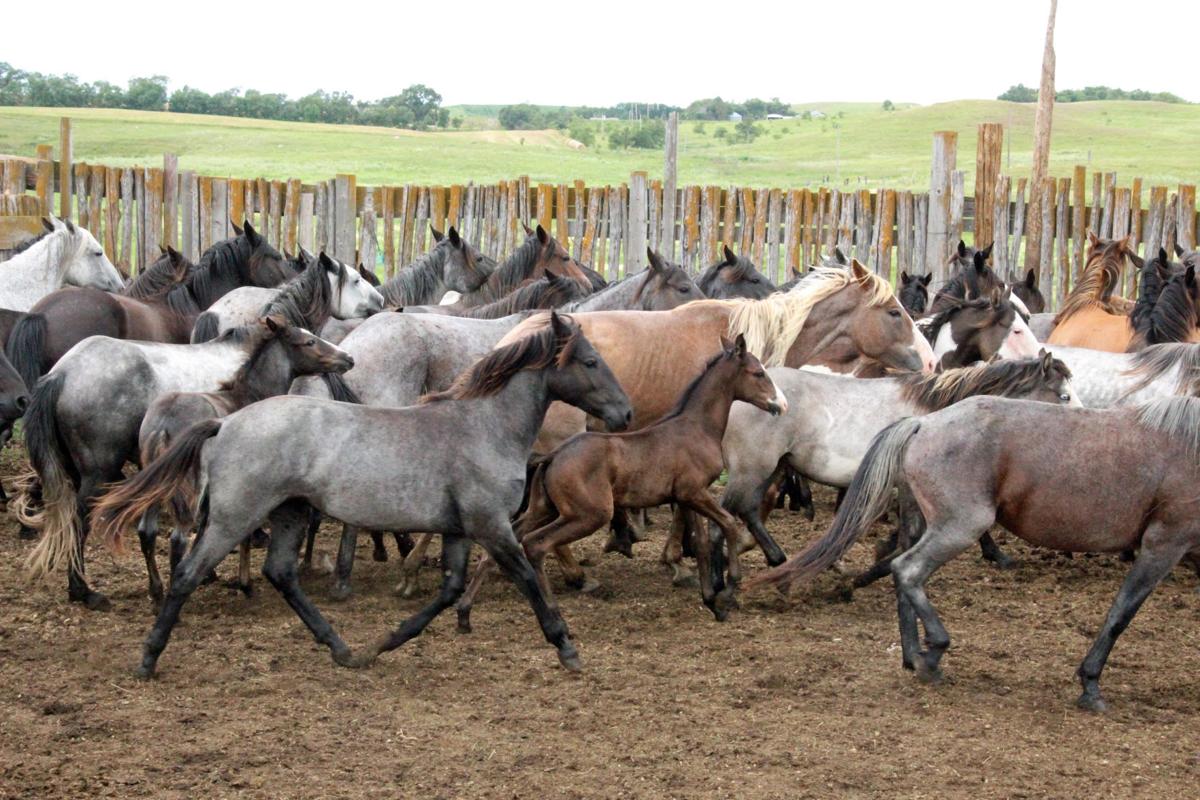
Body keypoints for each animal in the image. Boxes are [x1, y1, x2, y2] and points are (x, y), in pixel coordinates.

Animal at [133, 317, 354, 606]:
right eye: (309, 341)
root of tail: (163, 424)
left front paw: (211, 574)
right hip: (186, 488)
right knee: (177, 537)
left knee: (147, 531)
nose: (348, 358)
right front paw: (245, 585)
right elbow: (242, 533)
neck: (250, 395)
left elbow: (207, 529)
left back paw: (157, 592)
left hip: (155, 482)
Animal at [454, 334, 787, 631]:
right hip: (590, 514)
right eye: (758, 373)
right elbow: (729, 523)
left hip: (544, 509)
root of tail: (554, 456)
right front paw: (729, 590)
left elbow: (702, 544)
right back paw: (553, 610)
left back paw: (465, 612)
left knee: (504, 546)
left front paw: (711, 601)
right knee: (536, 544)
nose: (780, 405)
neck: (695, 426)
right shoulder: (694, 492)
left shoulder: (686, 497)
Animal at [720, 352, 1078, 583]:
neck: (936, 414)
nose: (1082, 418)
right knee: (731, 509)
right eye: (1064, 395)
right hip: (754, 468)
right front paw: (999, 556)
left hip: (773, 466)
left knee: (748, 510)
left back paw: (771, 558)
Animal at [746, 393, 1200, 712]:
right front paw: (1090, 686)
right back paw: (932, 655)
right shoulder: (1164, 544)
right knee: (908, 570)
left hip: (921, 522)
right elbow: (1120, 614)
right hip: (961, 525)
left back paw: (912, 656)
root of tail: (923, 424)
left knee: (899, 576)